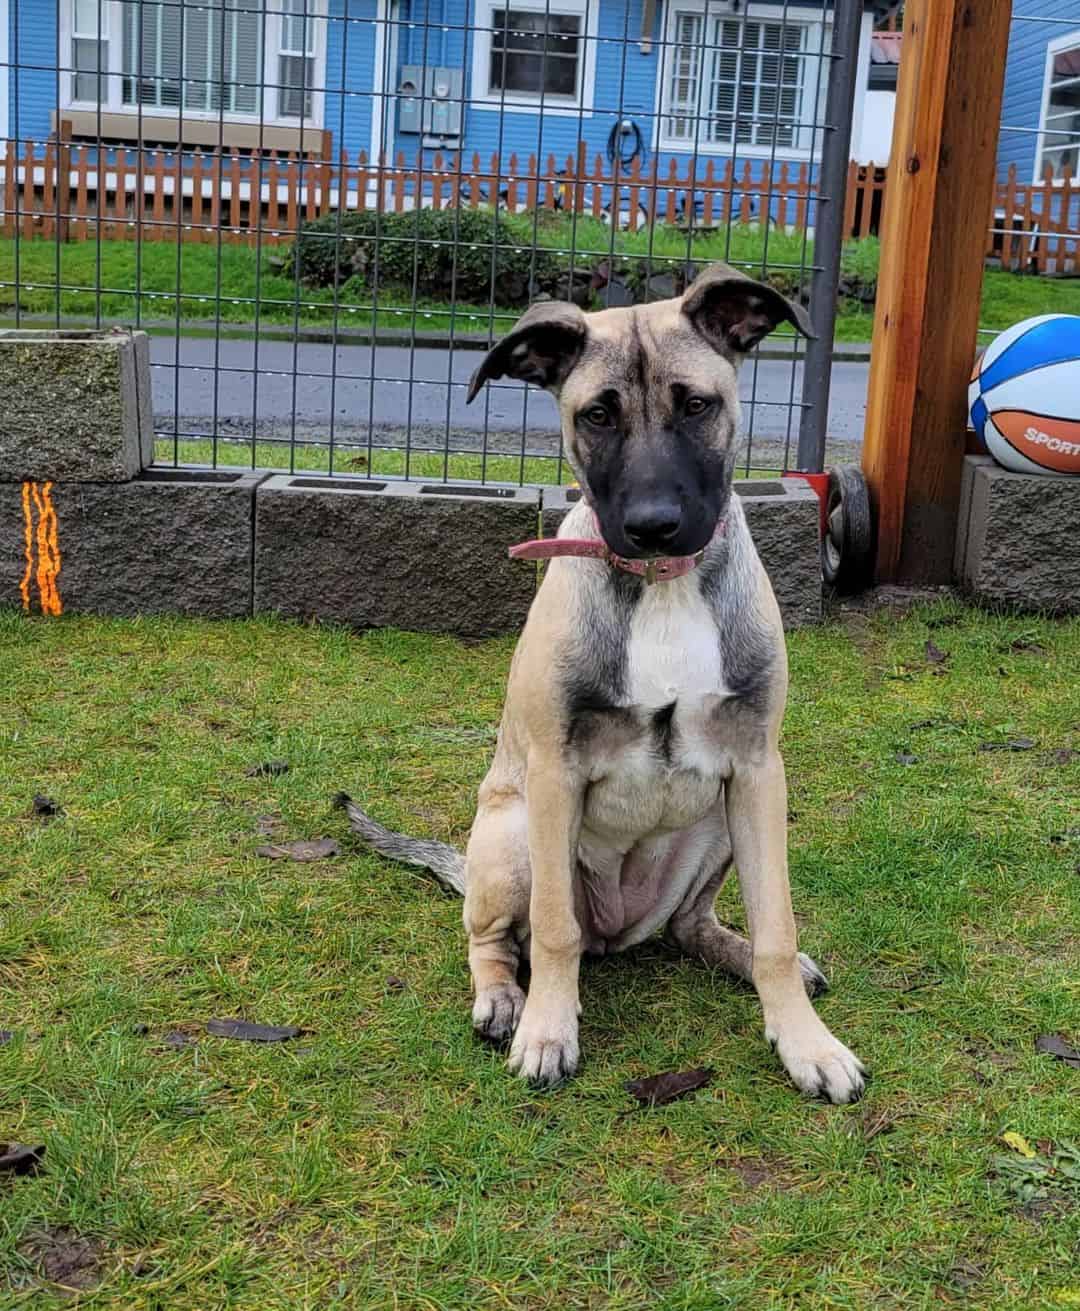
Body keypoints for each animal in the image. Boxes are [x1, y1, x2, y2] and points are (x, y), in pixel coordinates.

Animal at [338, 266, 870, 1106]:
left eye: (697, 404)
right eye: (596, 414)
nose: (653, 525)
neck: (662, 586)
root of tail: (617, 932)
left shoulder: (758, 768)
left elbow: (777, 930)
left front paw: (805, 1041)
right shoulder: (557, 772)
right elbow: (555, 930)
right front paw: (549, 1032)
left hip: (724, 820)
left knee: (691, 925)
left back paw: (727, 949)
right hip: (514, 830)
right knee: (497, 937)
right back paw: (505, 1000)